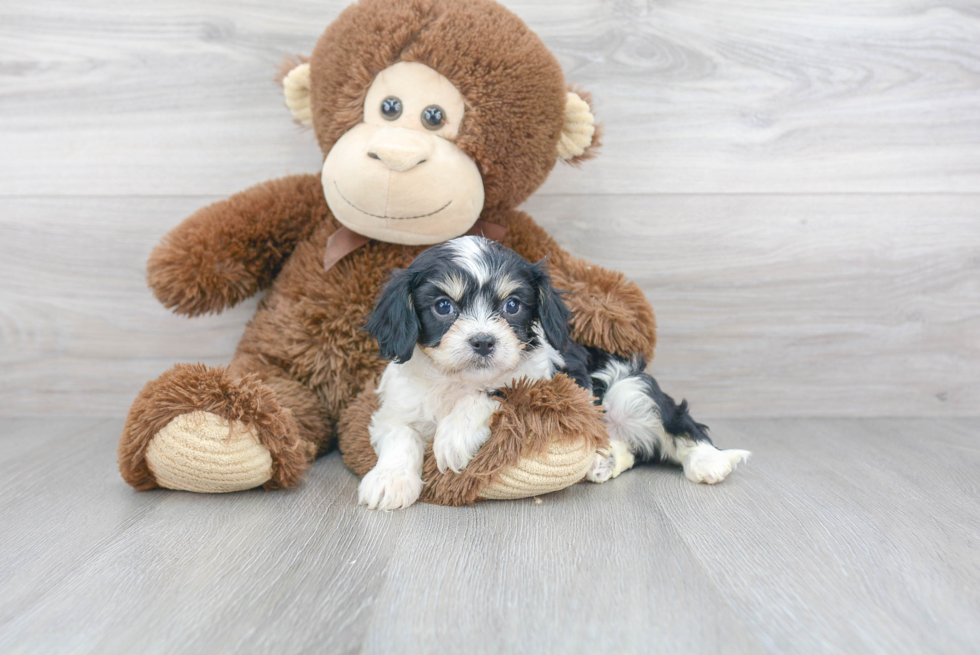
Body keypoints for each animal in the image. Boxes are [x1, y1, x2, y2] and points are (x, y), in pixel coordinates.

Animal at [360, 237, 752, 512]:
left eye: (512, 305)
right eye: (443, 306)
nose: (484, 341)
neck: (456, 380)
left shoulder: (548, 383)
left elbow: (492, 392)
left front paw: (453, 435)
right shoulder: (394, 409)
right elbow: (400, 437)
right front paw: (389, 480)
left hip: (628, 392)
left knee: (680, 424)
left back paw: (709, 461)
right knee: (630, 450)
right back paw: (604, 461)